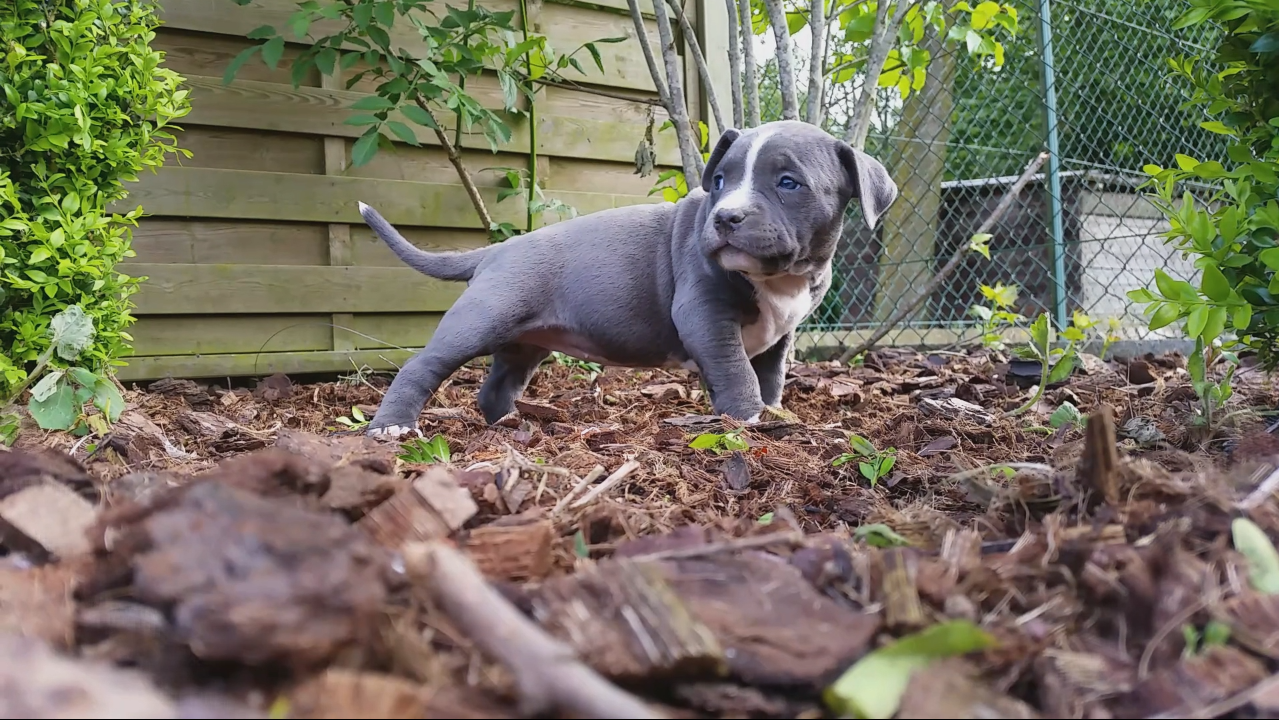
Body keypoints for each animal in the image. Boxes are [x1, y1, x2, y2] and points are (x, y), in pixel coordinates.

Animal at [358, 120, 900, 437]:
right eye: (719, 180)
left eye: (789, 183)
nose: (725, 217)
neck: (778, 278)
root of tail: (496, 251)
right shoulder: (705, 316)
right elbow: (737, 372)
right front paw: (748, 419)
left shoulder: (780, 331)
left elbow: (770, 376)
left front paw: (774, 413)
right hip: (480, 318)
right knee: (421, 366)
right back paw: (391, 428)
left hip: (524, 343)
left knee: (495, 388)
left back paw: (512, 424)